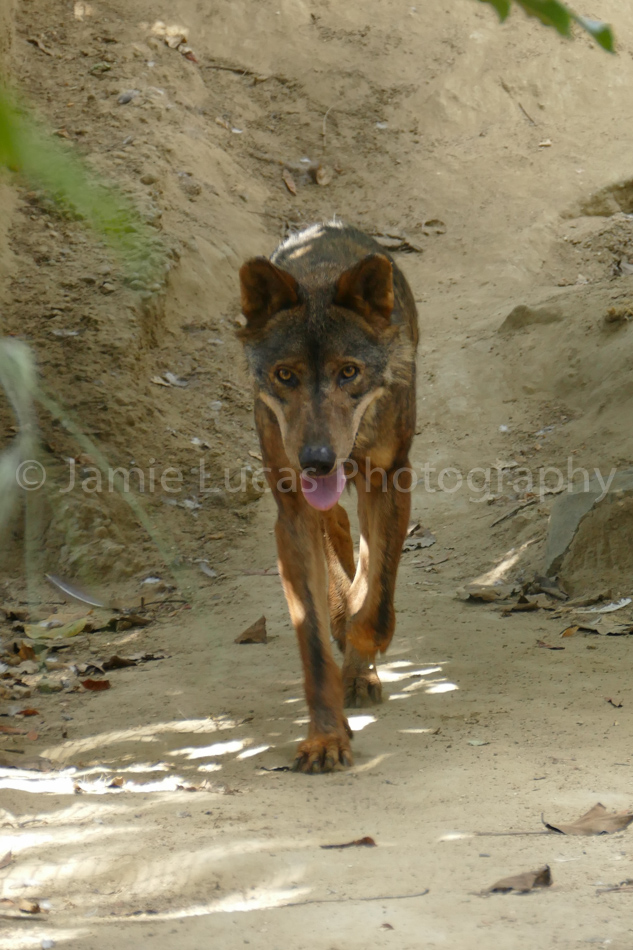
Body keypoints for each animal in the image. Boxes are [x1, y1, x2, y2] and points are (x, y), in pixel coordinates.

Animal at [238, 222, 418, 772]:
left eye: (348, 372)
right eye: (285, 375)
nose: (316, 459)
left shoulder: (391, 479)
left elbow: (376, 598)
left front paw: (362, 647)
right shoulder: (292, 512)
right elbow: (314, 641)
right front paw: (325, 739)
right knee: (335, 524)